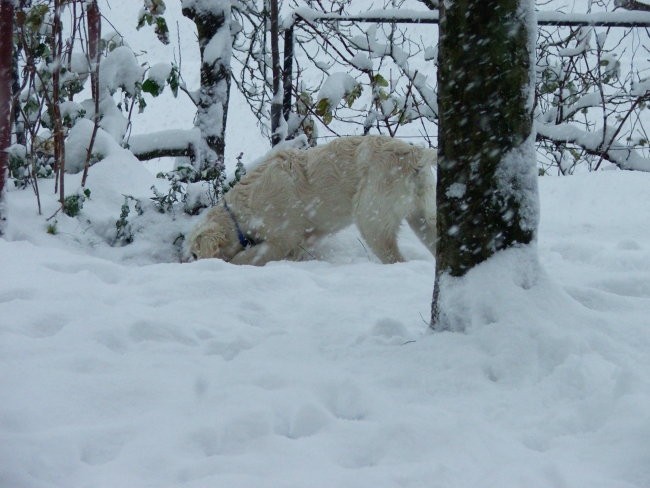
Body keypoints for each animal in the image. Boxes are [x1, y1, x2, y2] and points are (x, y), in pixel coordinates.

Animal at [186, 135, 436, 264]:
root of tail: (414, 154)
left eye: (195, 254)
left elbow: (248, 256)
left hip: (372, 219)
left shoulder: (284, 237)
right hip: (422, 217)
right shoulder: (307, 238)